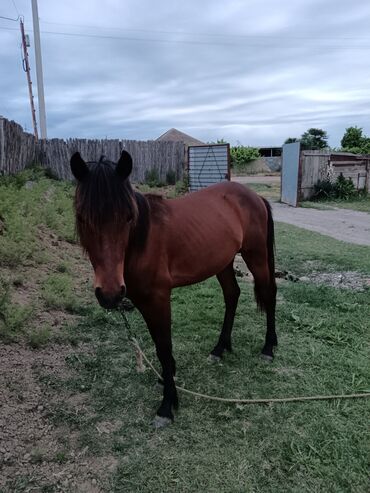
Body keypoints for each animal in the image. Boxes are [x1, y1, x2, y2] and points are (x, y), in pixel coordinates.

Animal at [70, 150, 278, 426]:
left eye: (128, 217)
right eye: (82, 217)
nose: (110, 293)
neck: (142, 241)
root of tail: (255, 197)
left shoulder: (159, 298)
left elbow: (164, 346)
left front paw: (167, 404)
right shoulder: (142, 300)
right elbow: (158, 343)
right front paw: (167, 379)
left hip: (256, 256)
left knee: (269, 294)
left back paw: (268, 347)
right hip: (223, 262)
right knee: (232, 295)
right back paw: (220, 348)